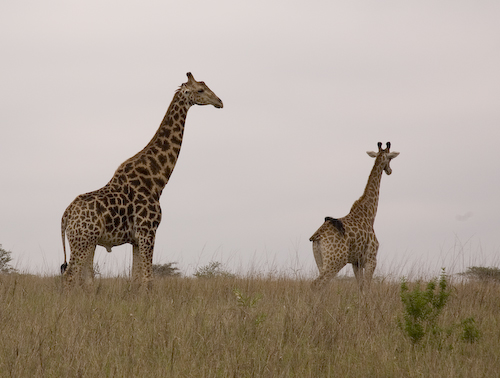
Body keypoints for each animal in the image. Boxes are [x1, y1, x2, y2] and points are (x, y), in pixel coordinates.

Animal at [60, 73, 223, 286]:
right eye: (200, 90)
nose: (220, 101)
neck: (156, 181)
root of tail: (65, 215)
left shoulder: (137, 239)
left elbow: (136, 279)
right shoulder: (148, 232)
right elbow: (148, 280)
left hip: (88, 242)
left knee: (85, 278)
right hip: (81, 240)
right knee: (70, 277)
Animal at [310, 143, 400, 290]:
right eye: (390, 158)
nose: (390, 171)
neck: (369, 214)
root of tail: (317, 236)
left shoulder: (356, 263)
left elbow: (361, 287)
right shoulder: (371, 259)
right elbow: (367, 287)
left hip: (320, 260)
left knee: (319, 285)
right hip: (336, 261)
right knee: (317, 284)